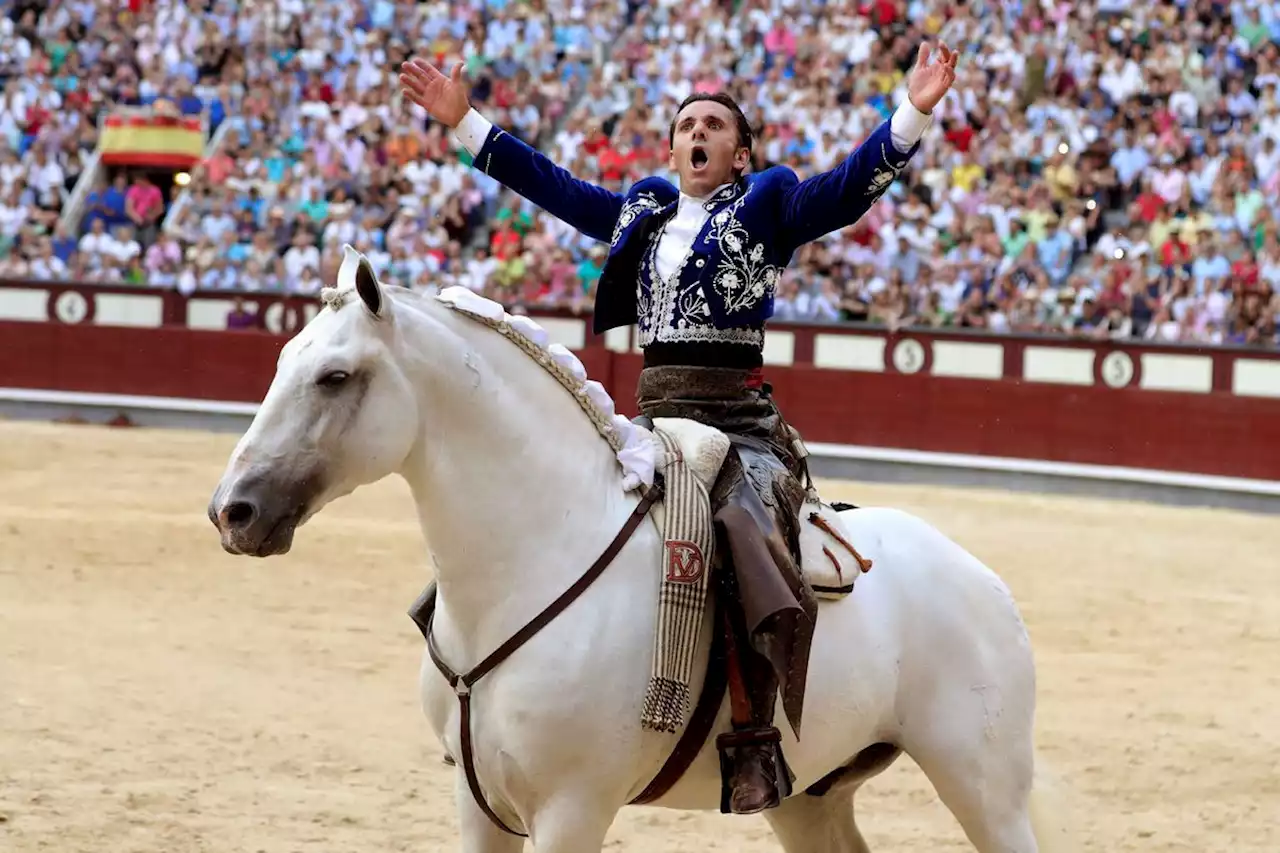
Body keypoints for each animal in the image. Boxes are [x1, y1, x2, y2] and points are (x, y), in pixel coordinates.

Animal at [209, 247, 1070, 850]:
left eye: (334, 375)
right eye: (281, 362)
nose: (232, 511)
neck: (530, 561)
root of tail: (985, 581)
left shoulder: (571, 808)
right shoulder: (479, 804)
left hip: (984, 784)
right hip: (812, 795)